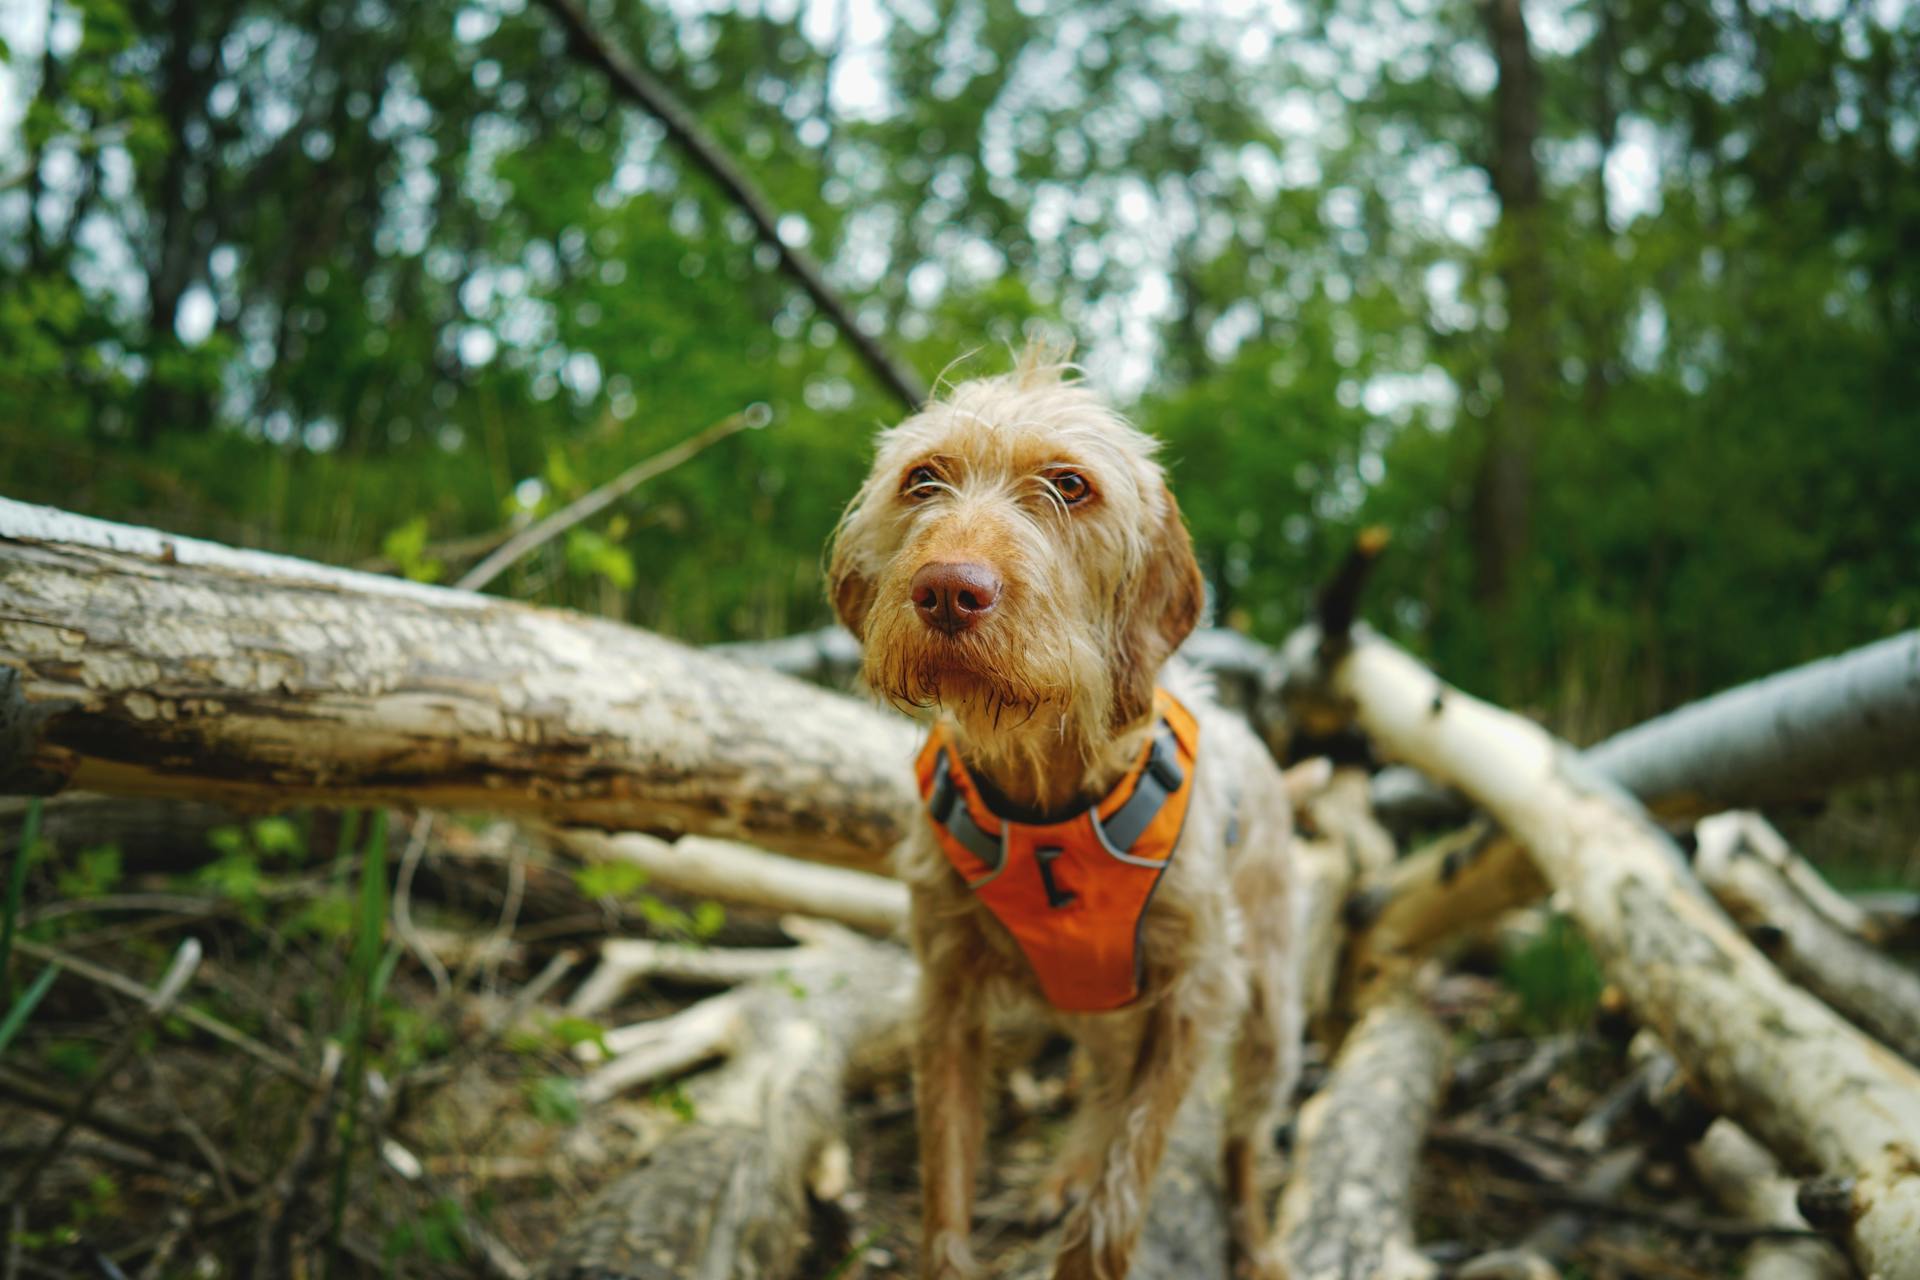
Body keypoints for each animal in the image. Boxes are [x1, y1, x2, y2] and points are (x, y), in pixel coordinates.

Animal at [825, 343, 1305, 1280]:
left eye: (1070, 485)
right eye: (922, 479)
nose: (949, 590)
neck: (1046, 793)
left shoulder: (1199, 993)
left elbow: (1125, 1184)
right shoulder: (946, 995)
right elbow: (945, 1184)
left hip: (1270, 1008)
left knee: (1238, 1135)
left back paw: (1258, 1243)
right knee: (1106, 1078)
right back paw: (1067, 1170)